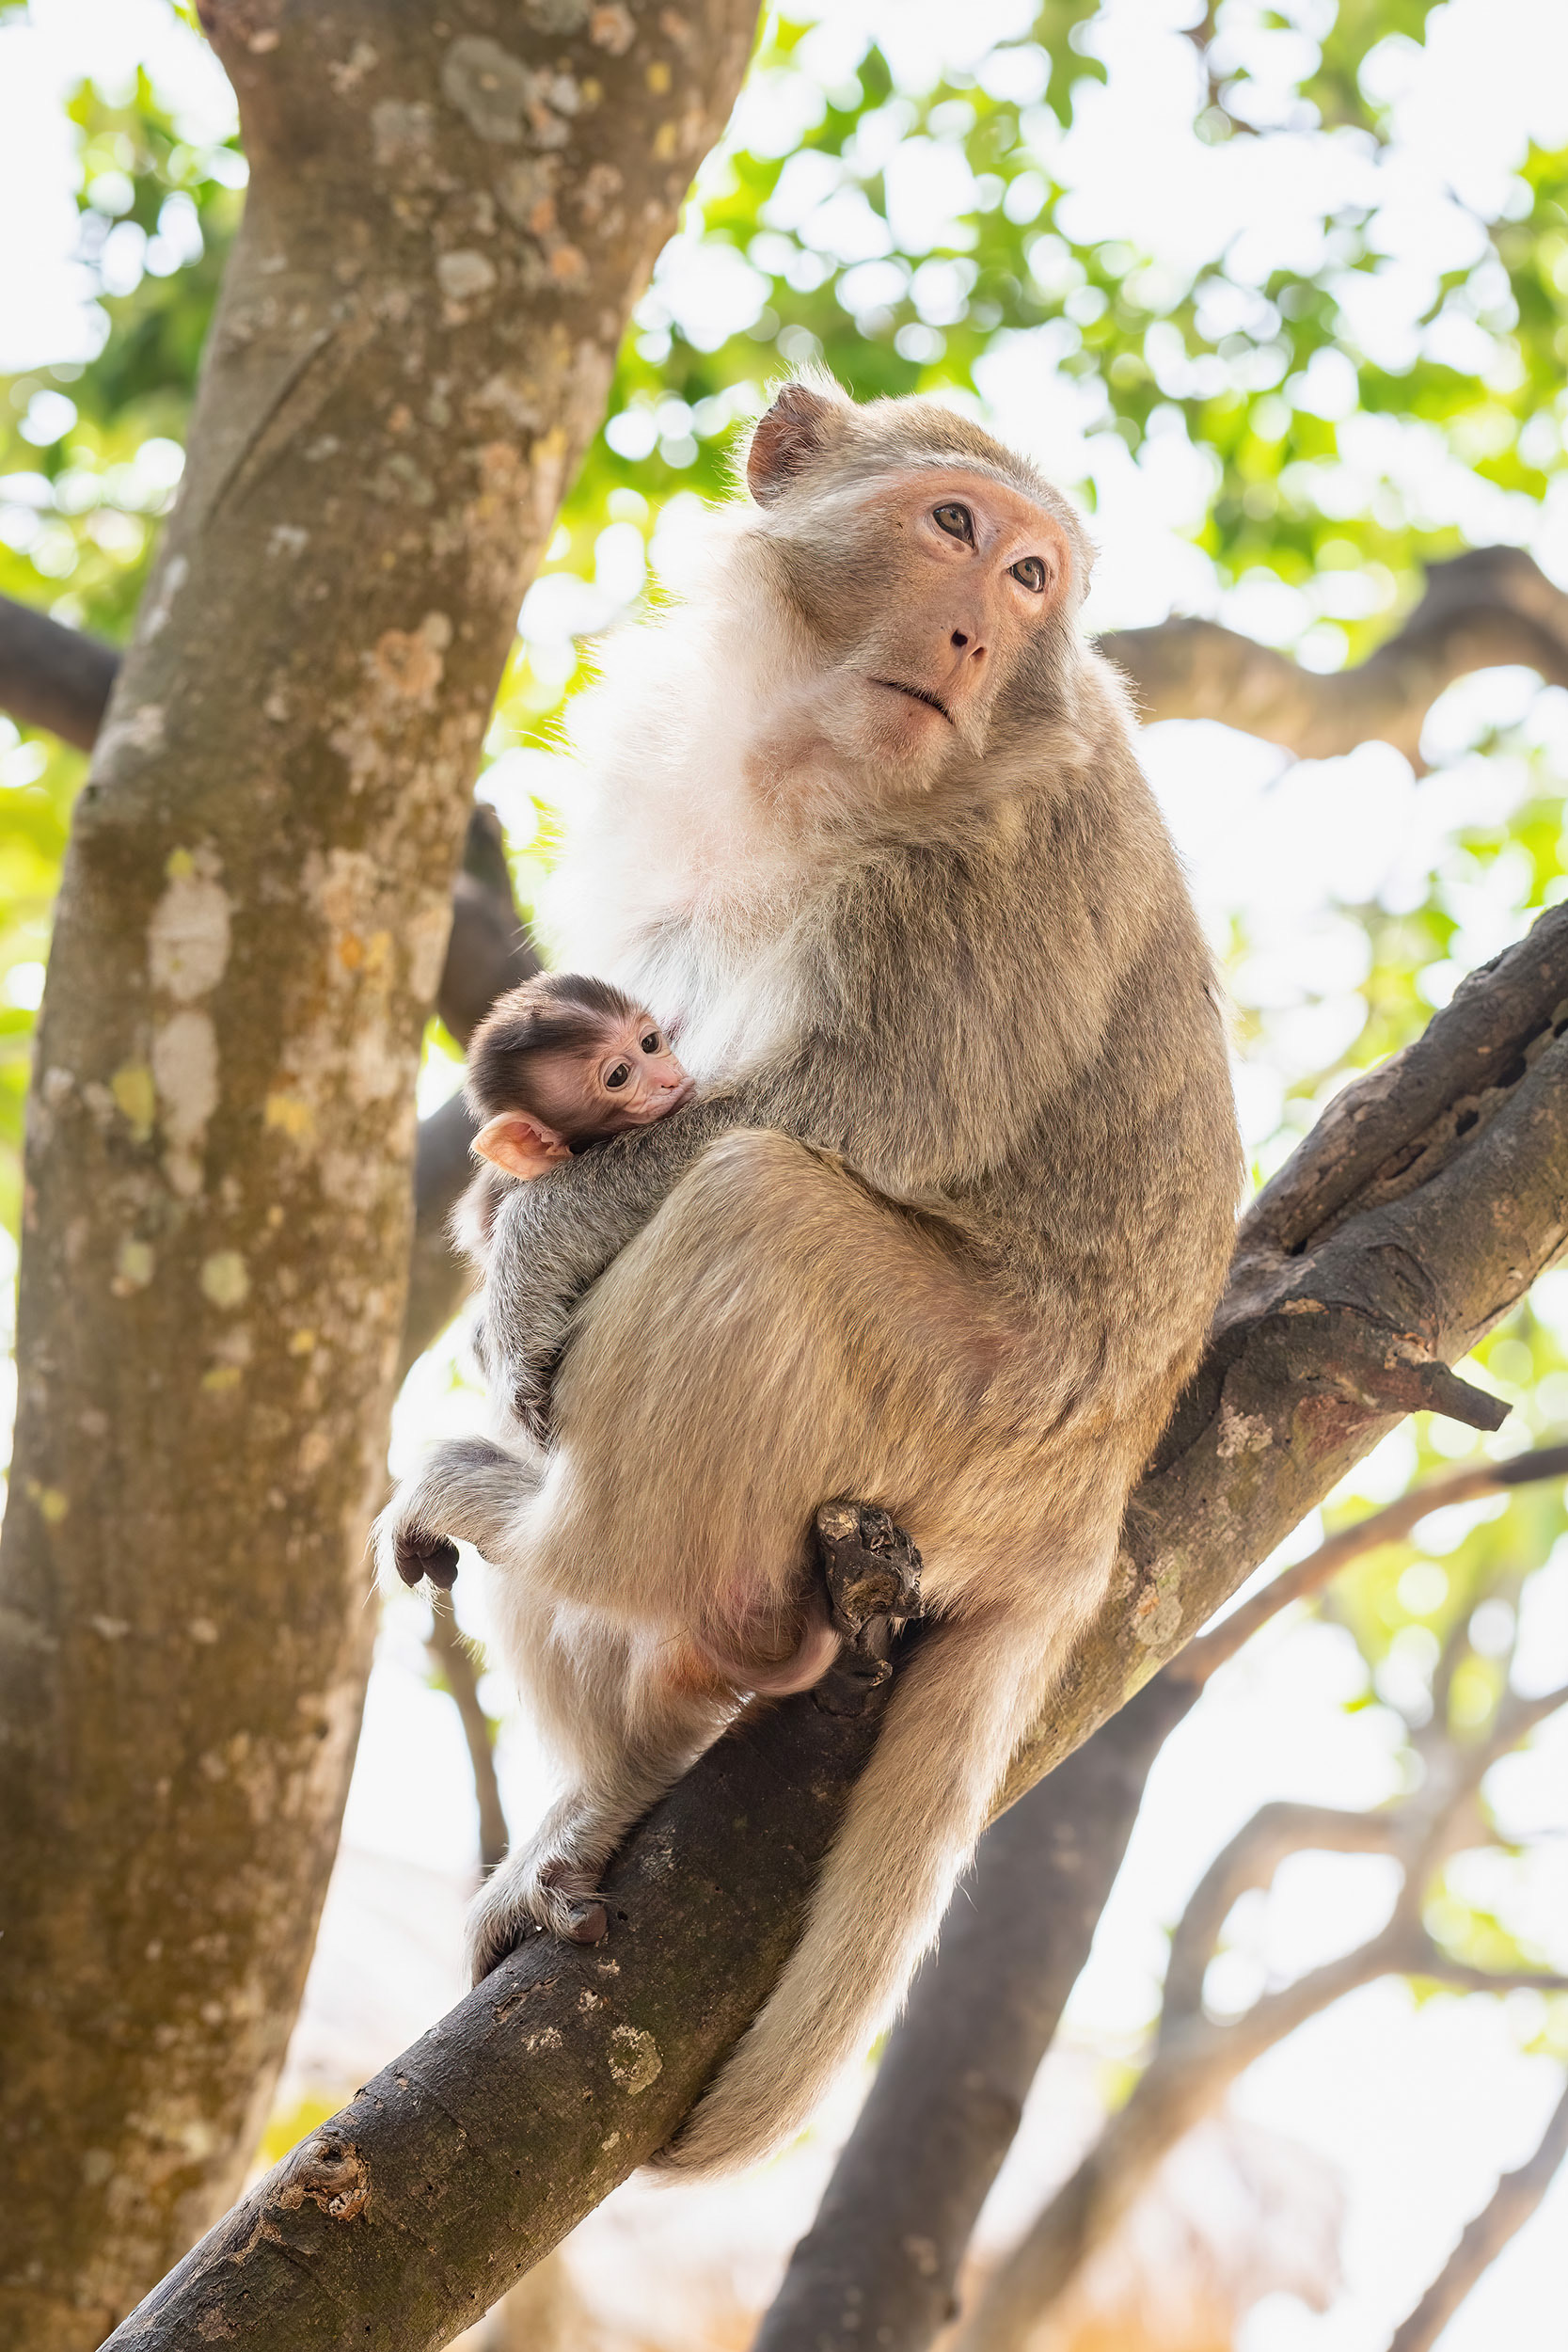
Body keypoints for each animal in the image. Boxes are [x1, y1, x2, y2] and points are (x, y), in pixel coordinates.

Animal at [376, 374, 1243, 2178]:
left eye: (1036, 577)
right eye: (954, 527)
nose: (981, 630)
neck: (808, 764)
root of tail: (1084, 1525)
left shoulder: (992, 865)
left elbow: (861, 1113)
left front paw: (526, 1259)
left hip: (958, 1417)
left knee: (753, 1209)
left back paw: (539, 1523)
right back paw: (644, 1749)